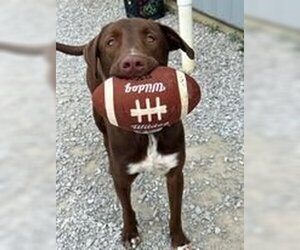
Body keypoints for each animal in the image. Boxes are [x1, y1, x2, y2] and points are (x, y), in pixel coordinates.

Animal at [56, 17, 195, 248]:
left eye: (151, 38)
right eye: (110, 42)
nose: (133, 62)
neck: (146, 132)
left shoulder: (175, 173)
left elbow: (176, 210)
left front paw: (178, 238)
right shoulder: (122, 178)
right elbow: (127, 209)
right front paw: (130, 233)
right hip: (97, 112)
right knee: (104, 136)